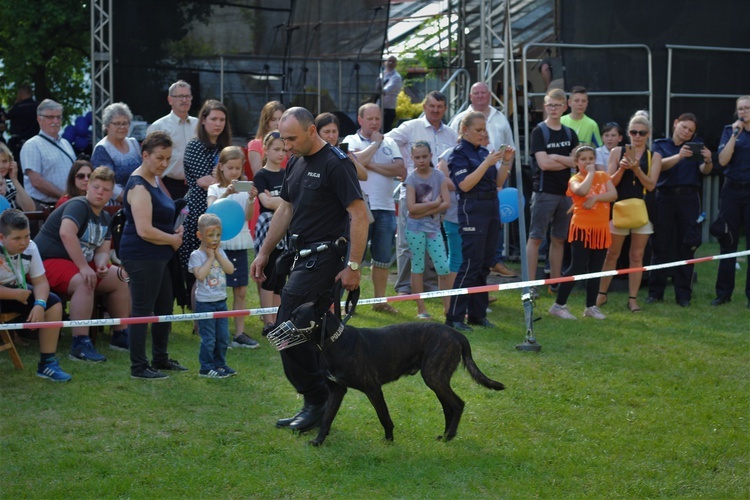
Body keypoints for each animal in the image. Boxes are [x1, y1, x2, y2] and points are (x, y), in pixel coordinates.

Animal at [280, 292, 506, 446]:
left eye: (297, 317)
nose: (277, 327)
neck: (333, 343)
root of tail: (457, 335)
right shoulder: (337, 390)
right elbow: (327, 418)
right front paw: (318, 441)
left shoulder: (373, 389)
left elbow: (384, 416)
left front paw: (389, 439)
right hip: (437, 380)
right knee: (448, 407)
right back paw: (446, 434)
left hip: (434, 376)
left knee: (458, 404)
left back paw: (449, 436)